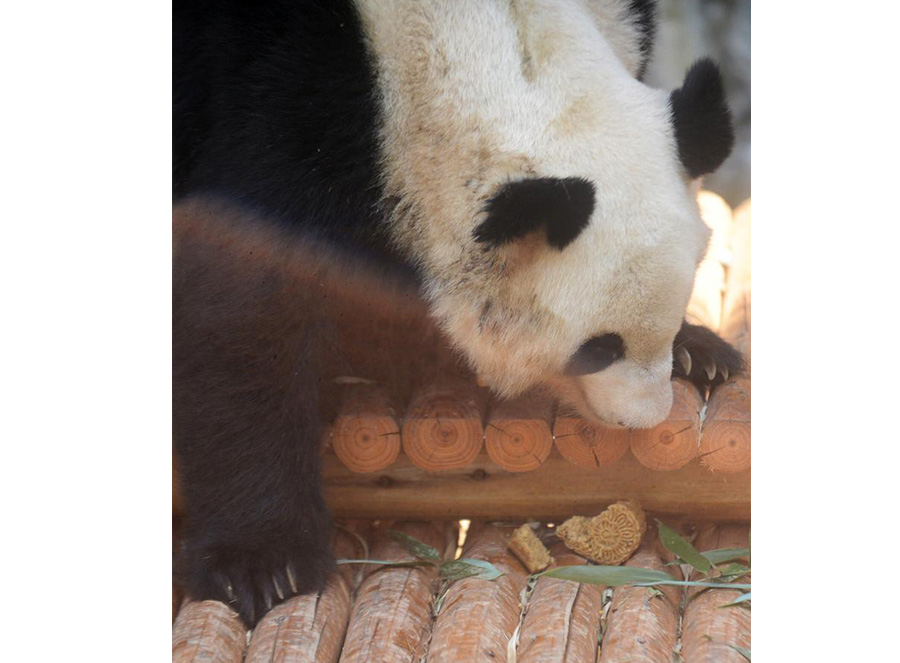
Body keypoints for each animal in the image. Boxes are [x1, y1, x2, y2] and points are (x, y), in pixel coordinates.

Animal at [172, 0, 740, 628]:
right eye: (598, 347)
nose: (642, 419)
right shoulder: (282, 99)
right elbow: (242, 308)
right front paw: (267, 562)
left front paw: (699, 350)